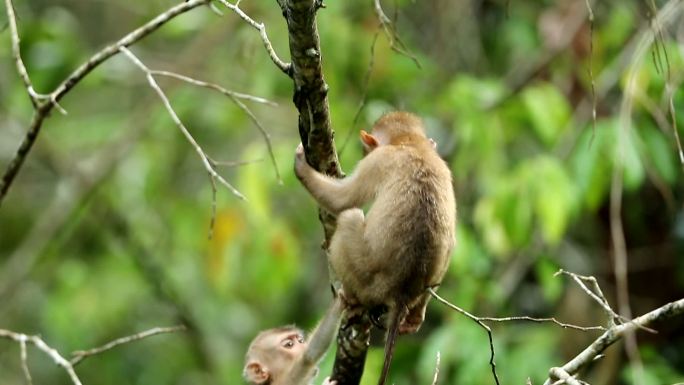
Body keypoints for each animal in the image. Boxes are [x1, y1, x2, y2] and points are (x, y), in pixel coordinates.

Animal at [292, 110, 454, 384]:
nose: (363, 152)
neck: (411, 144)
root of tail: (401, 292)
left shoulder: (377, 162)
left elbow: (342, 200)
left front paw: (301, 165)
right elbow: (453, 242)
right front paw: (416, 318)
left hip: (367, 278)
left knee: (350, 217)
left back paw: (352, 296)